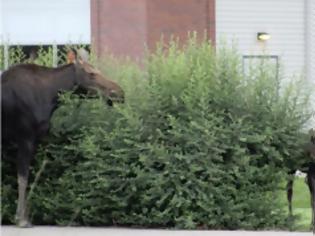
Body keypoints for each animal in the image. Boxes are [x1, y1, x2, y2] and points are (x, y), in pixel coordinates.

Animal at [1, 51, 124, 227]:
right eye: (92, 73)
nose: (119, 93)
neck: (51, 96)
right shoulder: (25, 137)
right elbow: (22, 178)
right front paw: (21, 219)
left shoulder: (33, 140)